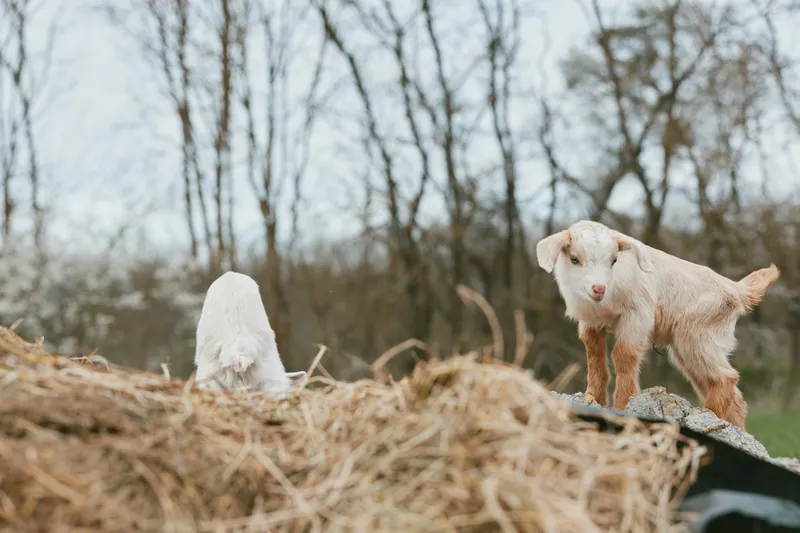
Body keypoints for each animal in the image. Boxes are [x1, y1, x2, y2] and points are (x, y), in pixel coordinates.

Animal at [536, 220, 779, 429]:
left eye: (614, 260)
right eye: (574, 259)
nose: (598, 289)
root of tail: (737, 290)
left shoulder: (638, 315)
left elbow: (623, 355)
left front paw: (623, 404)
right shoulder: (591, 323)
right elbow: (594, 355)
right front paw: (593, 398)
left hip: (697, 336)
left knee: (725, 377)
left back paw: (708, 419)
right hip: (693, 346)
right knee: (731, 394)